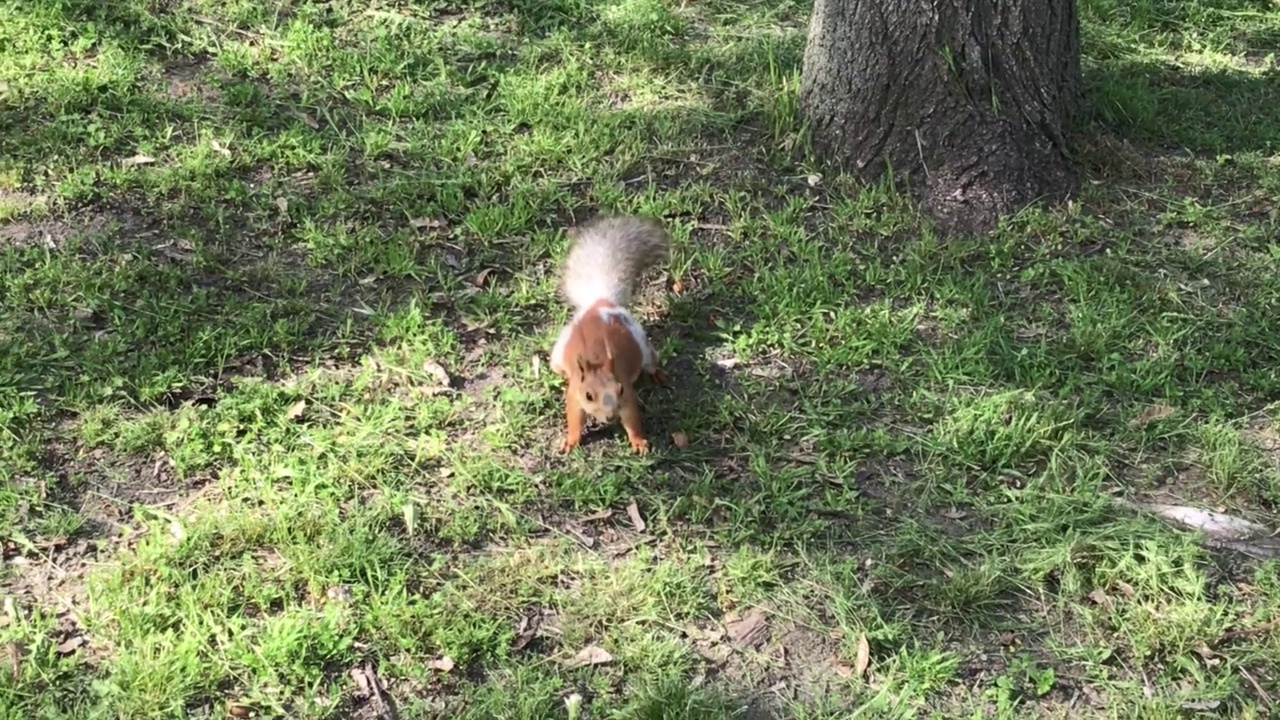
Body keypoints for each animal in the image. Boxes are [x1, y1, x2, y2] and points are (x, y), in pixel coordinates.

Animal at [547, 211, 670, 453]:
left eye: (619, 389)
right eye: (588, 395)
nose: (611, 417)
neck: (598, 359)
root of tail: (600, 302)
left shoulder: (627, 395)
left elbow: (632, 419)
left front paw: (639, 442)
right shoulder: (575, 394)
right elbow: (574, 418)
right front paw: (570, 441)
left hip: (642, 344)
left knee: (651, 361)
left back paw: (657, 374)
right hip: (557, 356)